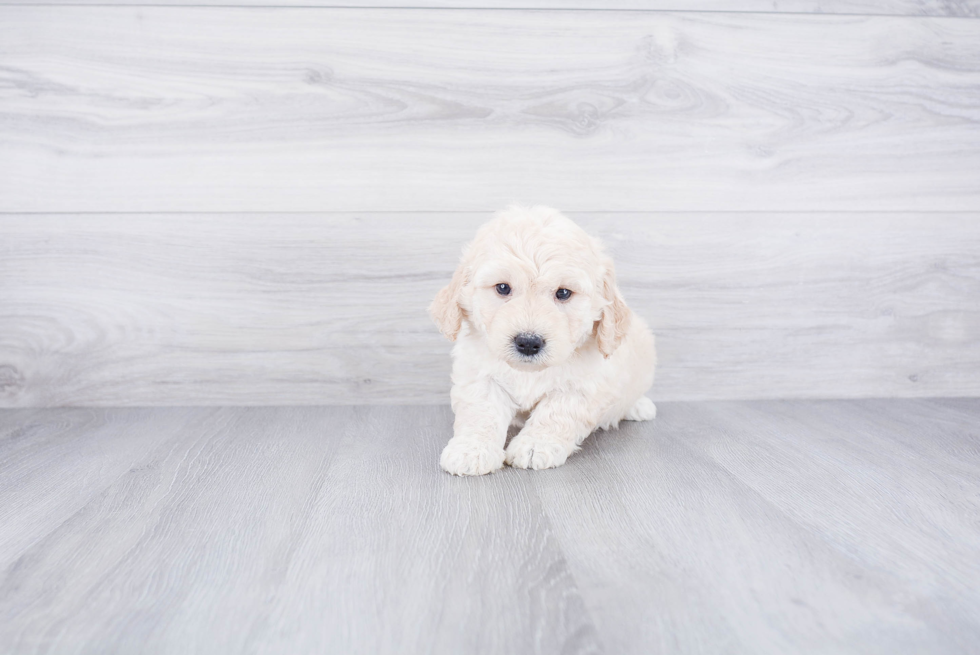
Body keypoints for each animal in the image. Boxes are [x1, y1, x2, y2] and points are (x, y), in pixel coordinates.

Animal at [430, 206, 656, 476]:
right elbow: (481, 412)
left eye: (563, 293)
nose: (528, 342)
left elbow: (556, 414)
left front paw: (534, 446)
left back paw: (639, 406)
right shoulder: (479, 375)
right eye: (503, 288)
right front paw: (471, 450)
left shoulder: (583, 385)